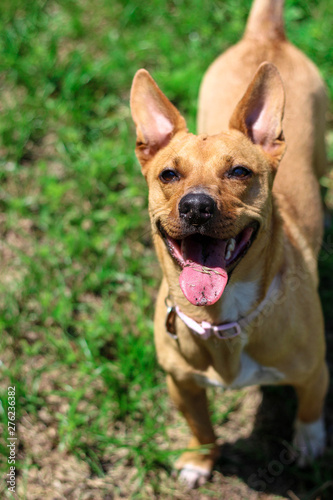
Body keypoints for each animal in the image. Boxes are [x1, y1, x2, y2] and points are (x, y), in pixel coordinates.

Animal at [129, 0, 326, 488]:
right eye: (168, 175)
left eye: (239, 172)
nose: (196, 206)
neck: (223, 319)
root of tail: (265, 35)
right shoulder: (180, 384)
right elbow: (201, 425)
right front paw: (200, 460)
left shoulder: (315, 371)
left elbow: (310, 410)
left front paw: (309, 443)